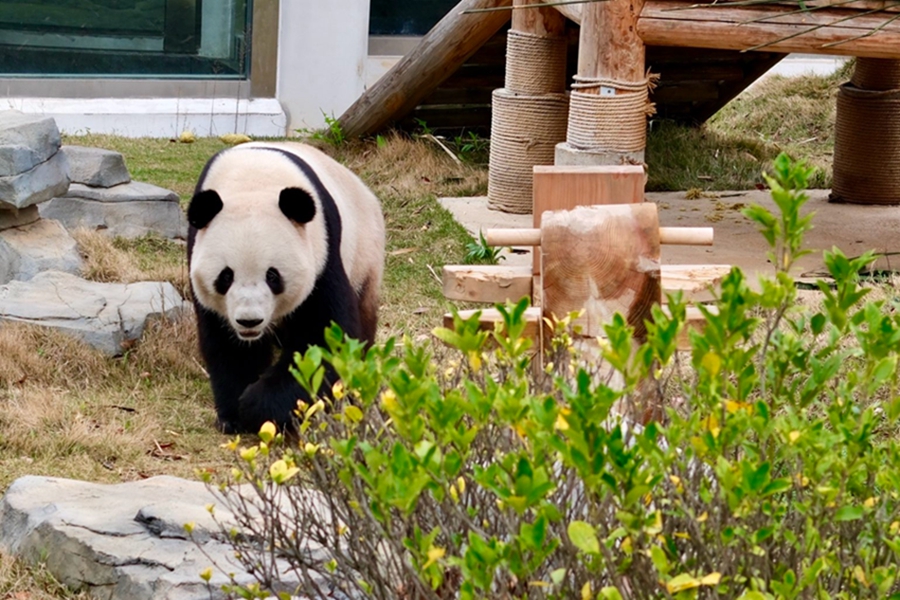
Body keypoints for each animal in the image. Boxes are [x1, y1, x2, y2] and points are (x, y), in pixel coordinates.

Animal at [187, 142, 385, 434]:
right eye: (225, 277)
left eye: (273, 276)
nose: (249, 321)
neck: (253, 178)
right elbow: (229, 347)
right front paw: (233, 415)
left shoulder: (323, 252)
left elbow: (323, 336)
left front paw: (257, 406)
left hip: (365, 253)